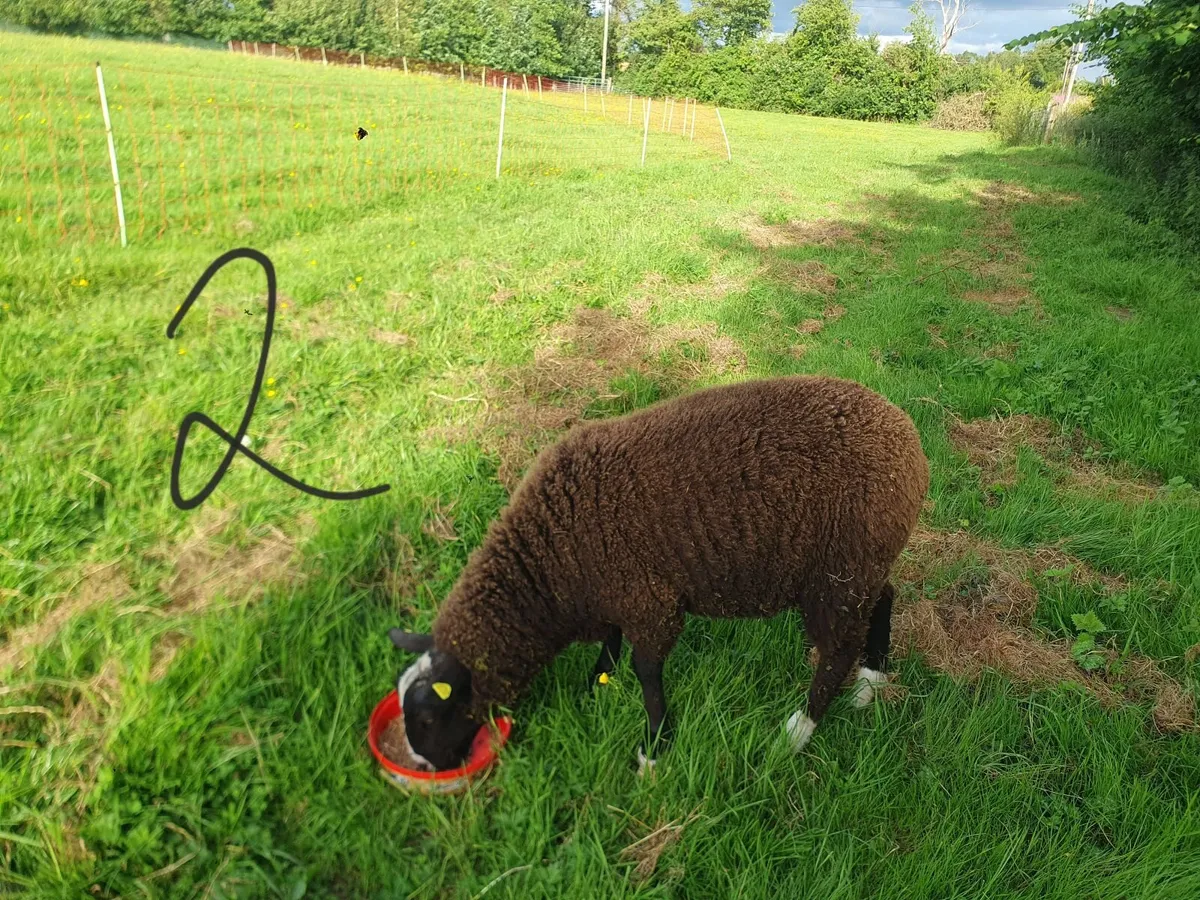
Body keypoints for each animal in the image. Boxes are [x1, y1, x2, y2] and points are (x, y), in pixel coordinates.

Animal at [388, 375, 929, 773]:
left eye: (429, 716)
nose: (430, 768)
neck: (550, 575)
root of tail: (908, 439)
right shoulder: (612, 593)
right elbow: (611, 641)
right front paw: (596, 686)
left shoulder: (649, 602)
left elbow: (646, 672)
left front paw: (653, 746)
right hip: (859, 566)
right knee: (884, 598)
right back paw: (871, 682)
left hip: (837, 576)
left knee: (836, 651)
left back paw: (798, 731)